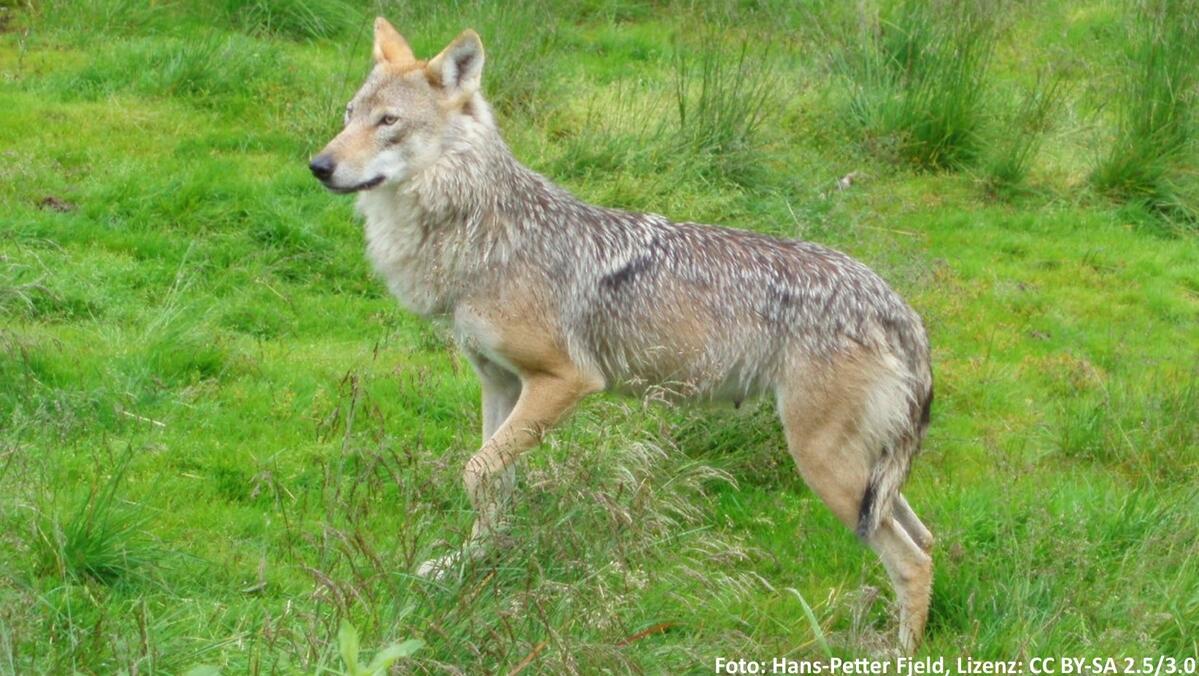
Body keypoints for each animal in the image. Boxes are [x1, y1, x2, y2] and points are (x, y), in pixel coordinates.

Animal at [310, 18, 936, 653]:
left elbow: (475, 471)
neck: (477, 231)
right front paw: (473, 563)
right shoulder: (500, 385)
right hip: (865, 475)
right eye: (350, 114)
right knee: (928, 537)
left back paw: (898, 651)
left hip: (827, 466)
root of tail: (899, 309)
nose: (318, 165)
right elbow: (493, 480)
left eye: (389, 122)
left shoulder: (565, 380)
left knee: (914, 560)